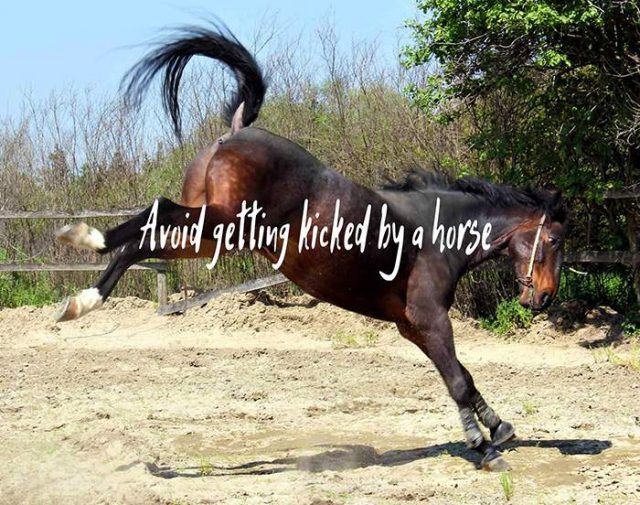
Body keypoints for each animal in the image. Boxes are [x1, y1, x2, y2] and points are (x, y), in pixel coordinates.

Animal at [54, 24, 567, 471]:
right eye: (555, 240)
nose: (543, 298)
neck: (436, 232)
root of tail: (236, 131)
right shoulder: (430, 319)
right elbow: (458, 379)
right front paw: (487, 447)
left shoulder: (413, 328)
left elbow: (462, 376)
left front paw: (498, 428)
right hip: (221, 223)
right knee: (154, 215)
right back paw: (86, 261)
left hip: (209, 235)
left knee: (141, 240)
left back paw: (81, 286)